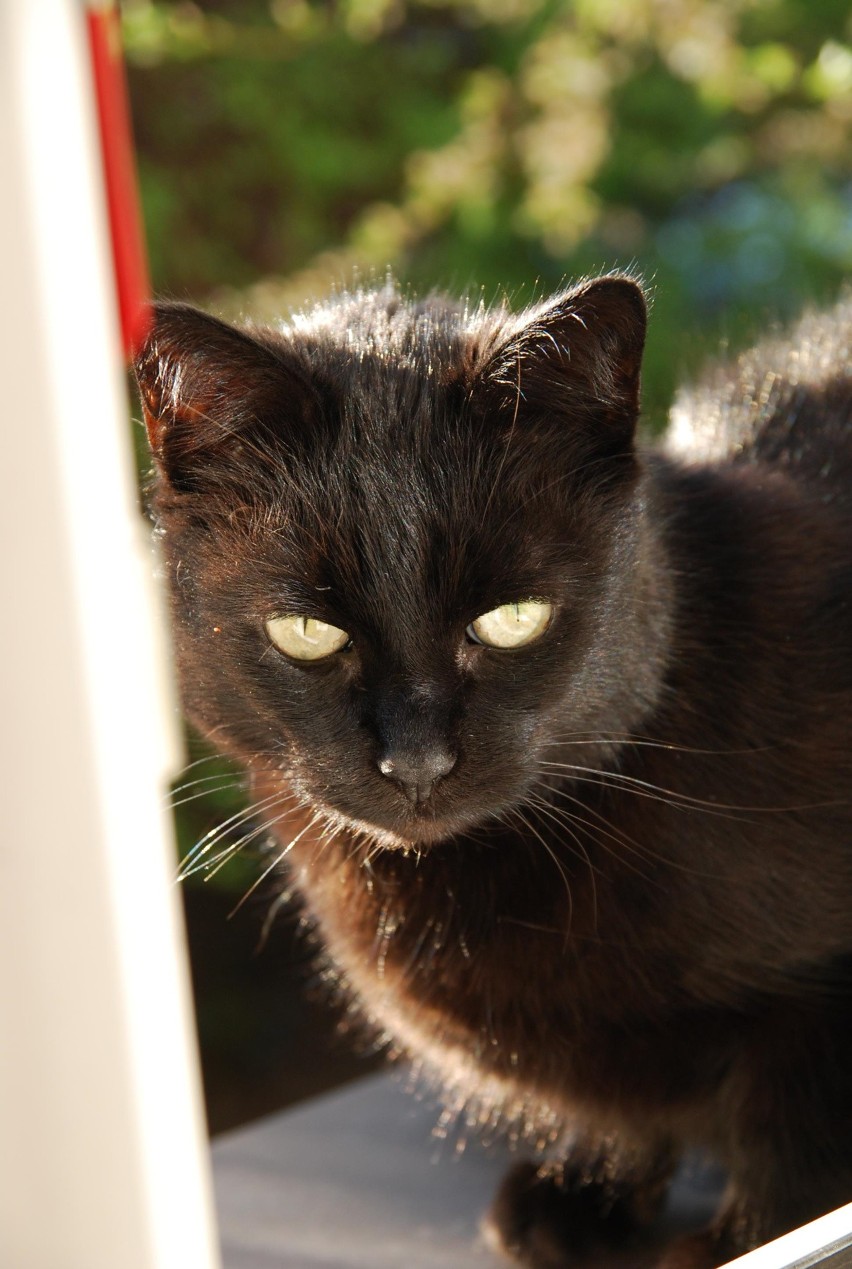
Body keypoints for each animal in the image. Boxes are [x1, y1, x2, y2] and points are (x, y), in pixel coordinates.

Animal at [133, 280, 852, 1269]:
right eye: (307, 633)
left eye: (514, 619)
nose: (417, 761)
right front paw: (582, 1196)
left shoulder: (818, 1020)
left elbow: (796, 1152)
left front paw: (740, 1239)